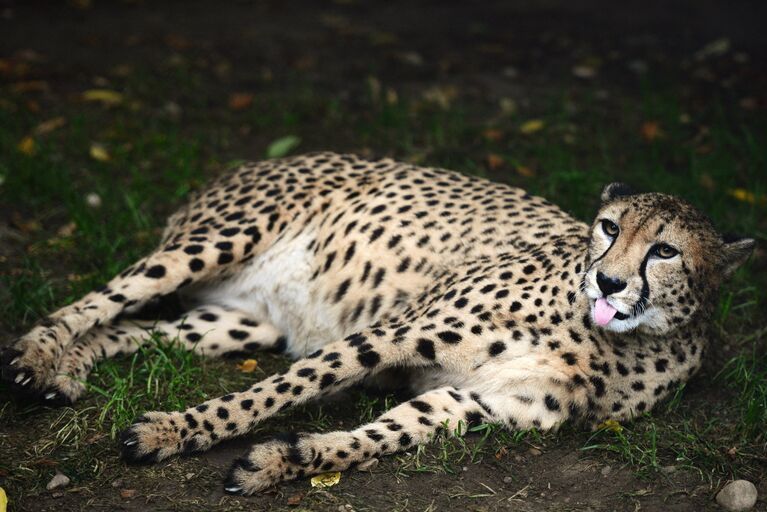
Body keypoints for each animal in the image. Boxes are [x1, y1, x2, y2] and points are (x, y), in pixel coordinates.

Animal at [0, 153, 756, 496]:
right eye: (607, 229)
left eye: (664, 250)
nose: (607, 281)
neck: (613, 338)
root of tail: (261, 159)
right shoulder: (389, 334)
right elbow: (267, 395)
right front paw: (172, 433)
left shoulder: (479, 402)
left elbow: (380, 436)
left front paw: (283, 461)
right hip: (215, 243)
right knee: (100, 300)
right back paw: (36, 356)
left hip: (245, 325)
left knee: (128, 332)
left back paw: (65, 371)